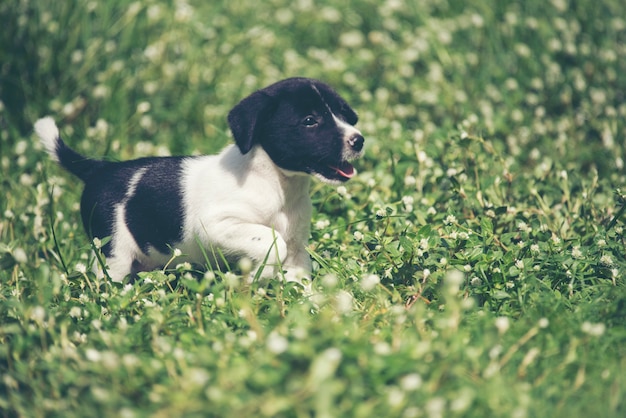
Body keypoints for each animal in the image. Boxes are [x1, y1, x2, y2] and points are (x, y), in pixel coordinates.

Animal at [34, 77, 364, 288]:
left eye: (342, 114)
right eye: (310, 121)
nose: (358, 140)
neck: (277, 184)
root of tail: (99, 170)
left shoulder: (297, 246)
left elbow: (297, 270)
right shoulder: (216, 226)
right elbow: (269, 239)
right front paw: (263, 272)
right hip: (113, 253)